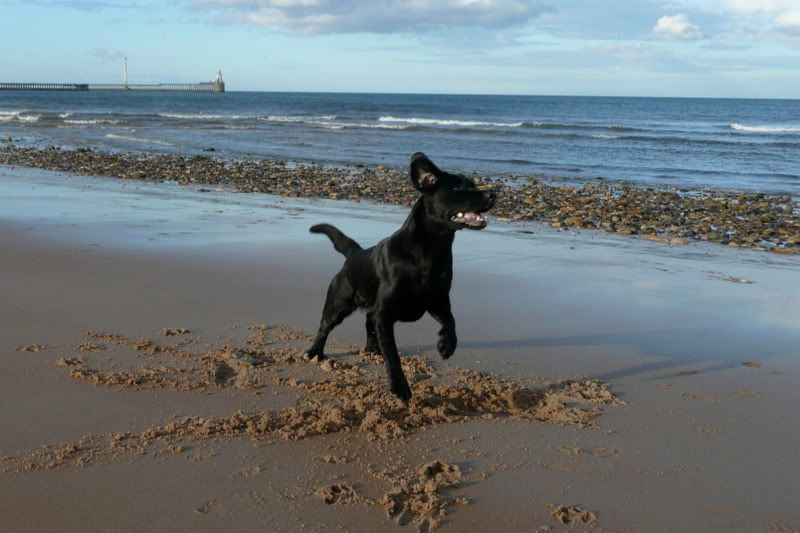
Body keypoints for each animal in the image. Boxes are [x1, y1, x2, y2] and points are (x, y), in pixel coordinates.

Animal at [306, 153, 496, 400]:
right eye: (457, 187)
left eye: (473, 185)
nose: (493, 194)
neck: (429, 252)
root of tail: (355, 253)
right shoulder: (386, 313)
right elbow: (393, 354)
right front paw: (399, 386)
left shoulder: (438, 300)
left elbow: (451, 320)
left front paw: (446, 344)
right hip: (338, 302)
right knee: (325, 327)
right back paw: (314, 352)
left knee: (368, 320)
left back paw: (372, 348)